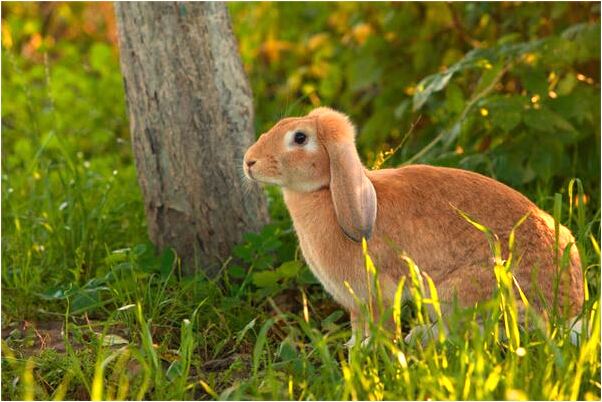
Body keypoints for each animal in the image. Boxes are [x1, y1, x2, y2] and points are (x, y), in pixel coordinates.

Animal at [240, 106, 580, 346]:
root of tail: (570, 310)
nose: (248, 161)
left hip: (458, 292)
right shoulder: (355, 304)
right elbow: (357, 324)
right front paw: (354, 348)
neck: (331, 191)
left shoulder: (378, 292)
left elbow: (381, 324)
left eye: (300, 138)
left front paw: (372, 349)